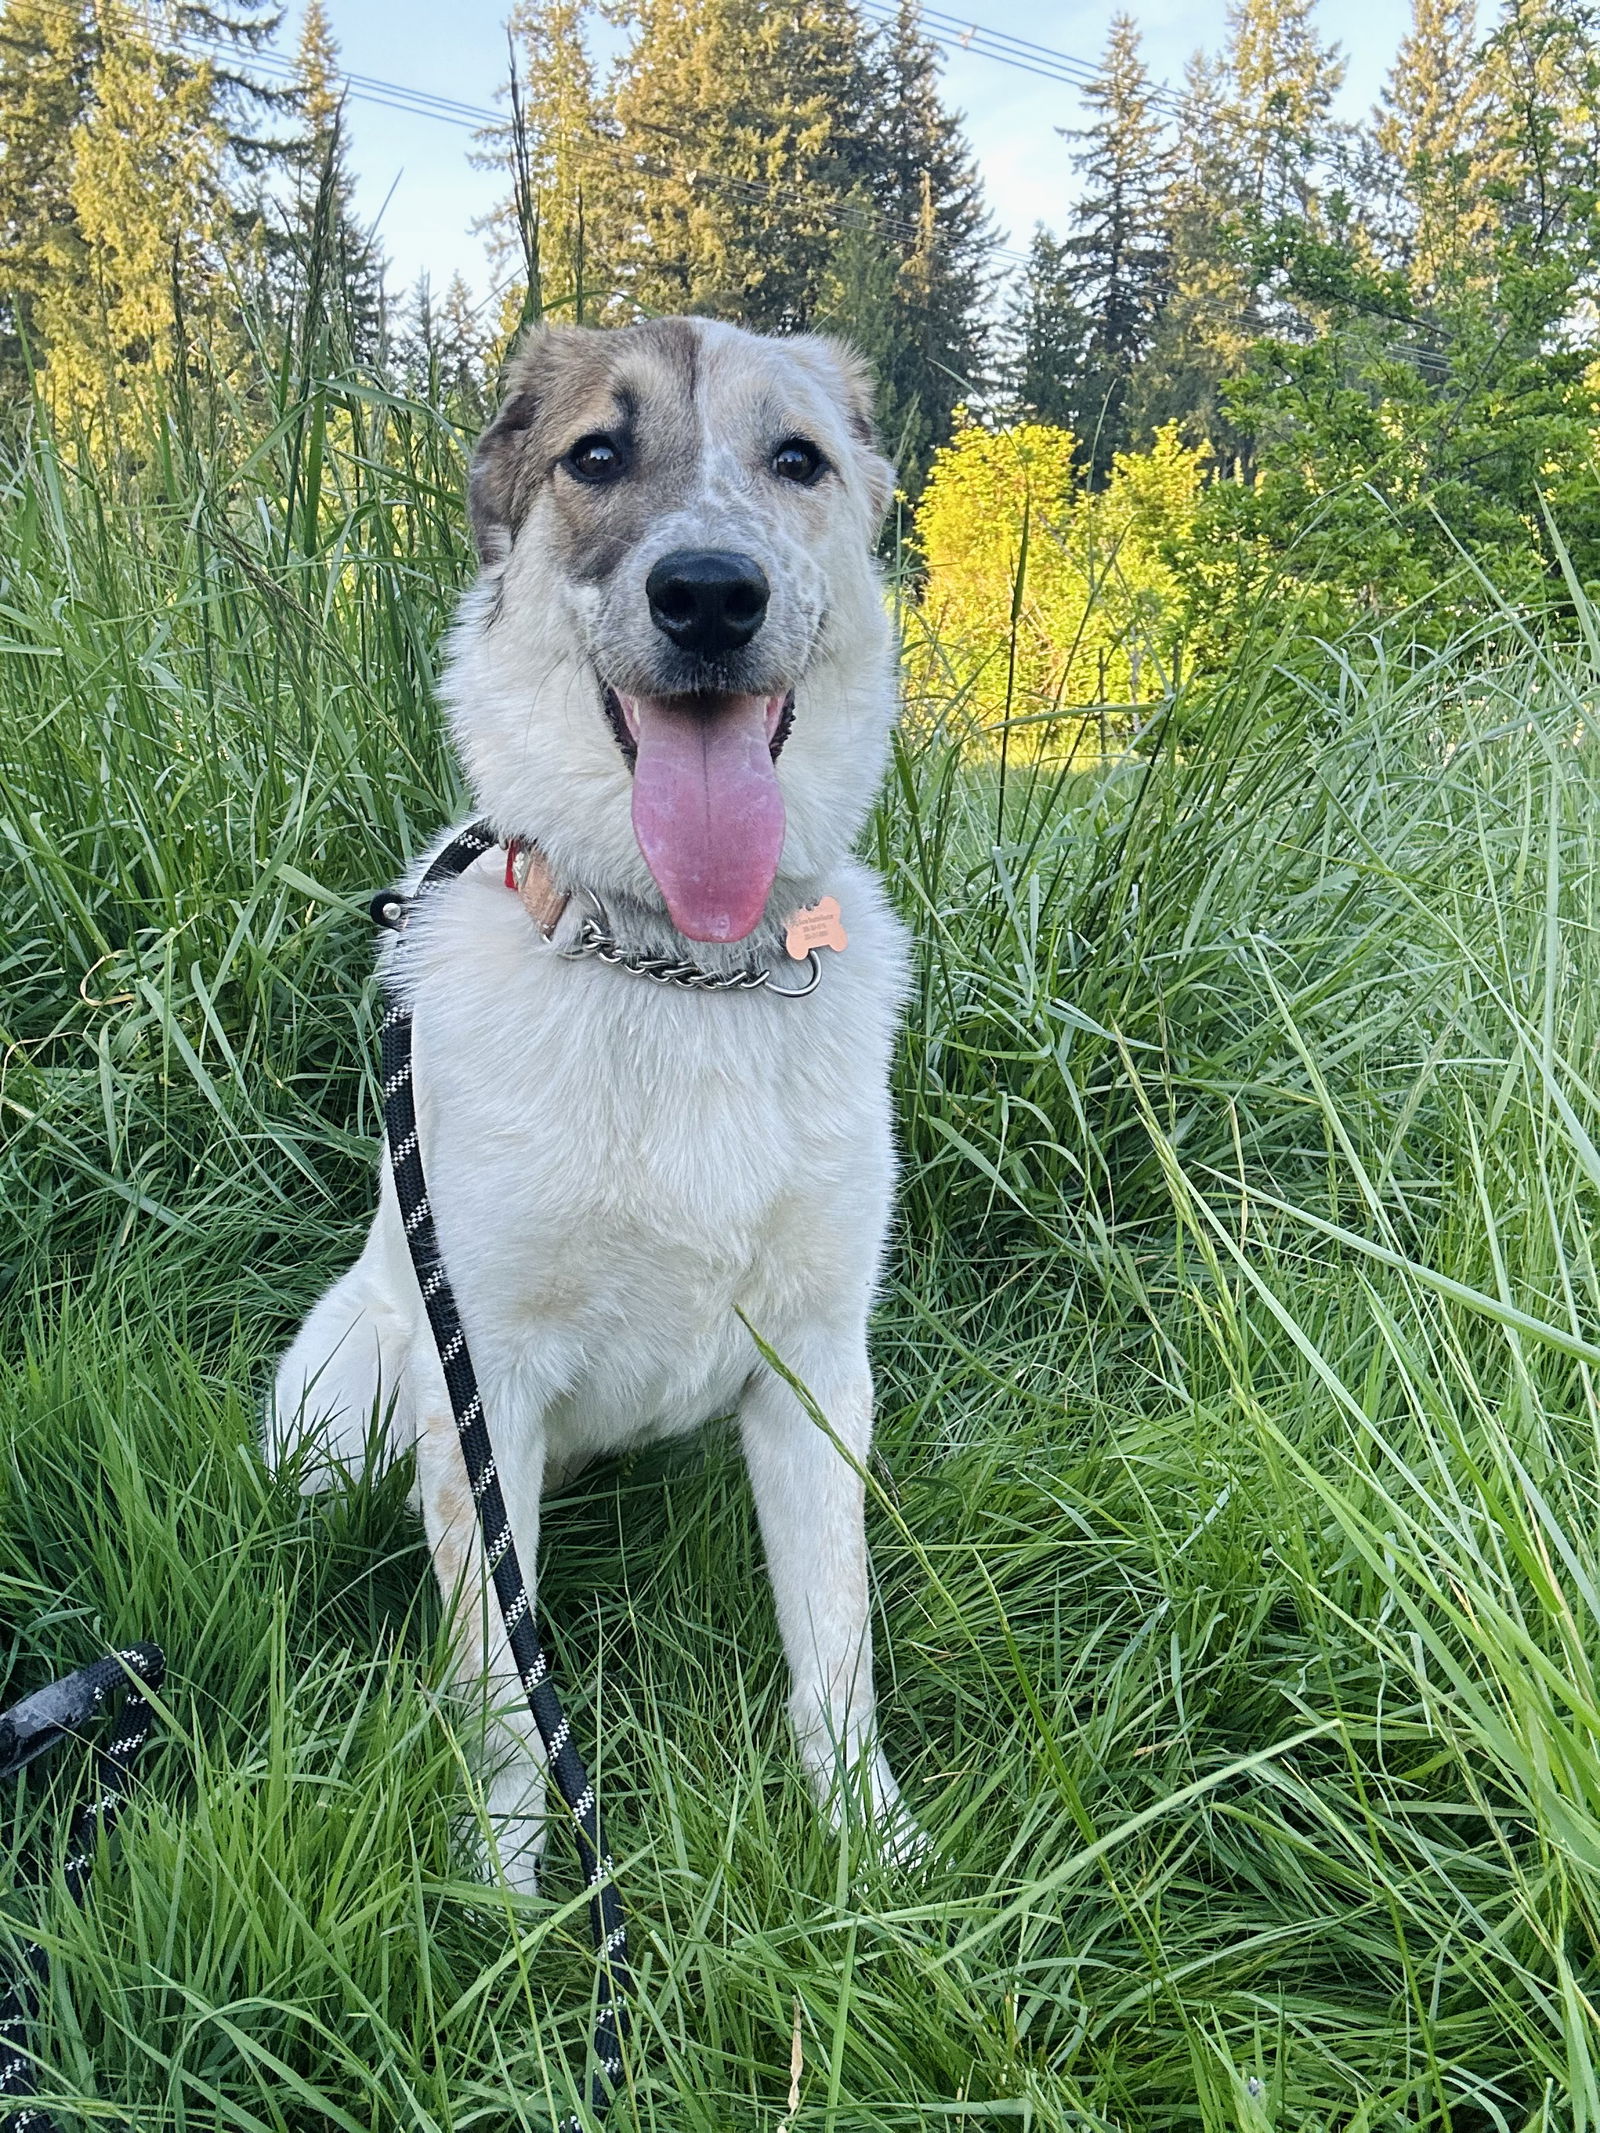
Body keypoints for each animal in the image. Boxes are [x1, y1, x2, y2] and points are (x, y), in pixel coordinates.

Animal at [270, 315, 921, 1885]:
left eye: (796, 459)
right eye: (598, 456)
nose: (710, 594)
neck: (677, 968)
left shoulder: (818, 1370)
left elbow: (836, 1644)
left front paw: (870, 1859)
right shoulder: (482, 1388)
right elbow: (502, 1685)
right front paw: (511, 1891)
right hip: (351, 1396)